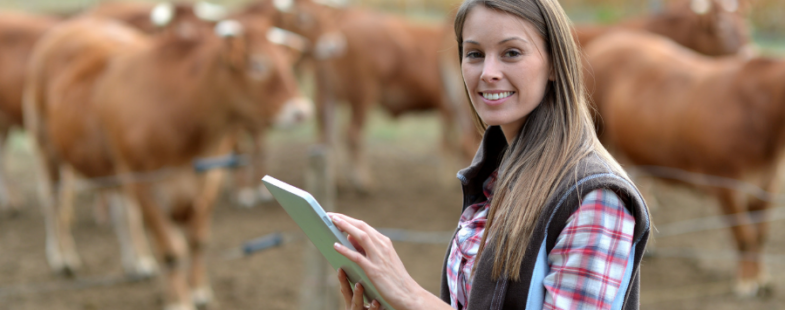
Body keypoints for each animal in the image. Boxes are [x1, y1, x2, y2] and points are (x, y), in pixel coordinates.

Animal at [23, 11, 310, 308]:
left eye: (286, 62)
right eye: (257, 65)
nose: (301, 110)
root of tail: (74, 25)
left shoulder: (210, 180)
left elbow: (197, 240)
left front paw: (200, 291)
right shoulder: (143, 184)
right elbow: (171, 250)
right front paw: (179, 301)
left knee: (121, 211)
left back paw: (136, 262)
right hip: (46, 146)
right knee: (53, 200)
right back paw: (62, 258)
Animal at [580, 29, 776, 298]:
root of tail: (613, 39)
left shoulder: (767, 182)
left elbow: (762, 233)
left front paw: (762, 278)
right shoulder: (726, 183)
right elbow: (745, 235)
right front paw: (746, 282)